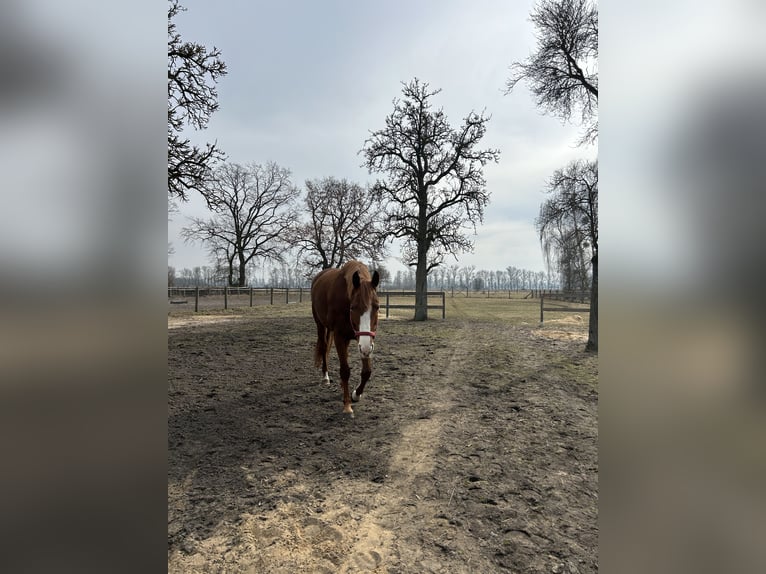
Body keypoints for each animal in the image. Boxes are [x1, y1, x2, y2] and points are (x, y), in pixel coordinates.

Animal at [311, 260, 380, 414]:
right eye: (353, 307)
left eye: (377, 307)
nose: (366, 347)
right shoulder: (340, 336)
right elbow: (345, 371)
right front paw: (347, 405)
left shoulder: (362, 341)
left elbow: (366, 372)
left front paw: (355, 394)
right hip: (320, 325)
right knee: (324, 347)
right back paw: (326, 377)